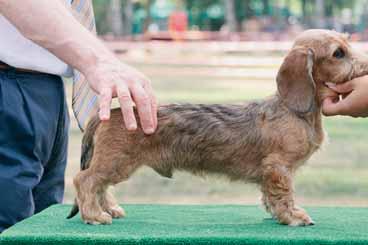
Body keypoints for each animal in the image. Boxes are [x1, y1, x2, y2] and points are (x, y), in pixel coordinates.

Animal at [67, 30, 368, 226]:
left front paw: (277, 214)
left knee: (100, 186)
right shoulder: (279, 168)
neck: (294, 110)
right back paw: (94, 215)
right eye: (338, 53)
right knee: (85, 180)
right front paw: (292, 216)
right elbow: (283, 195)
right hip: (116, 162)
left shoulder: (272, 172)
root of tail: (108, 114)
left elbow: (269, 196)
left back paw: (109, 209)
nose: (366, 66)